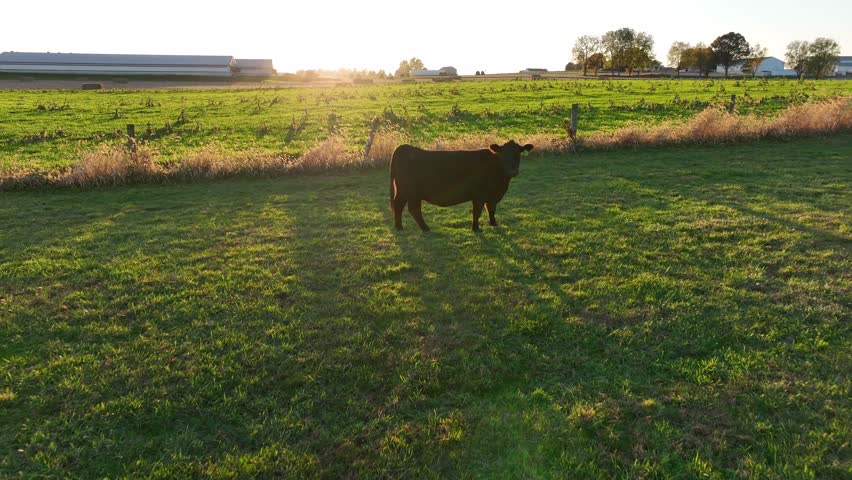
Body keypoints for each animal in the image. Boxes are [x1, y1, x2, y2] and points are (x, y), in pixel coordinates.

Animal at [389, 140, 534, 232]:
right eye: (503, 154)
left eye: (518, 154)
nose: (513, 171)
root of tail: (405, 147)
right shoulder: (479, 195)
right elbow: (477, 212)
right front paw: (476, 228)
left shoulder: (492, 195)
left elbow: (491, 209)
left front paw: (493, 224)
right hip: (407, 191)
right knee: (405, 207)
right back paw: (413, 228)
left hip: (411, 193)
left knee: (408, 208)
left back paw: (406, 227)